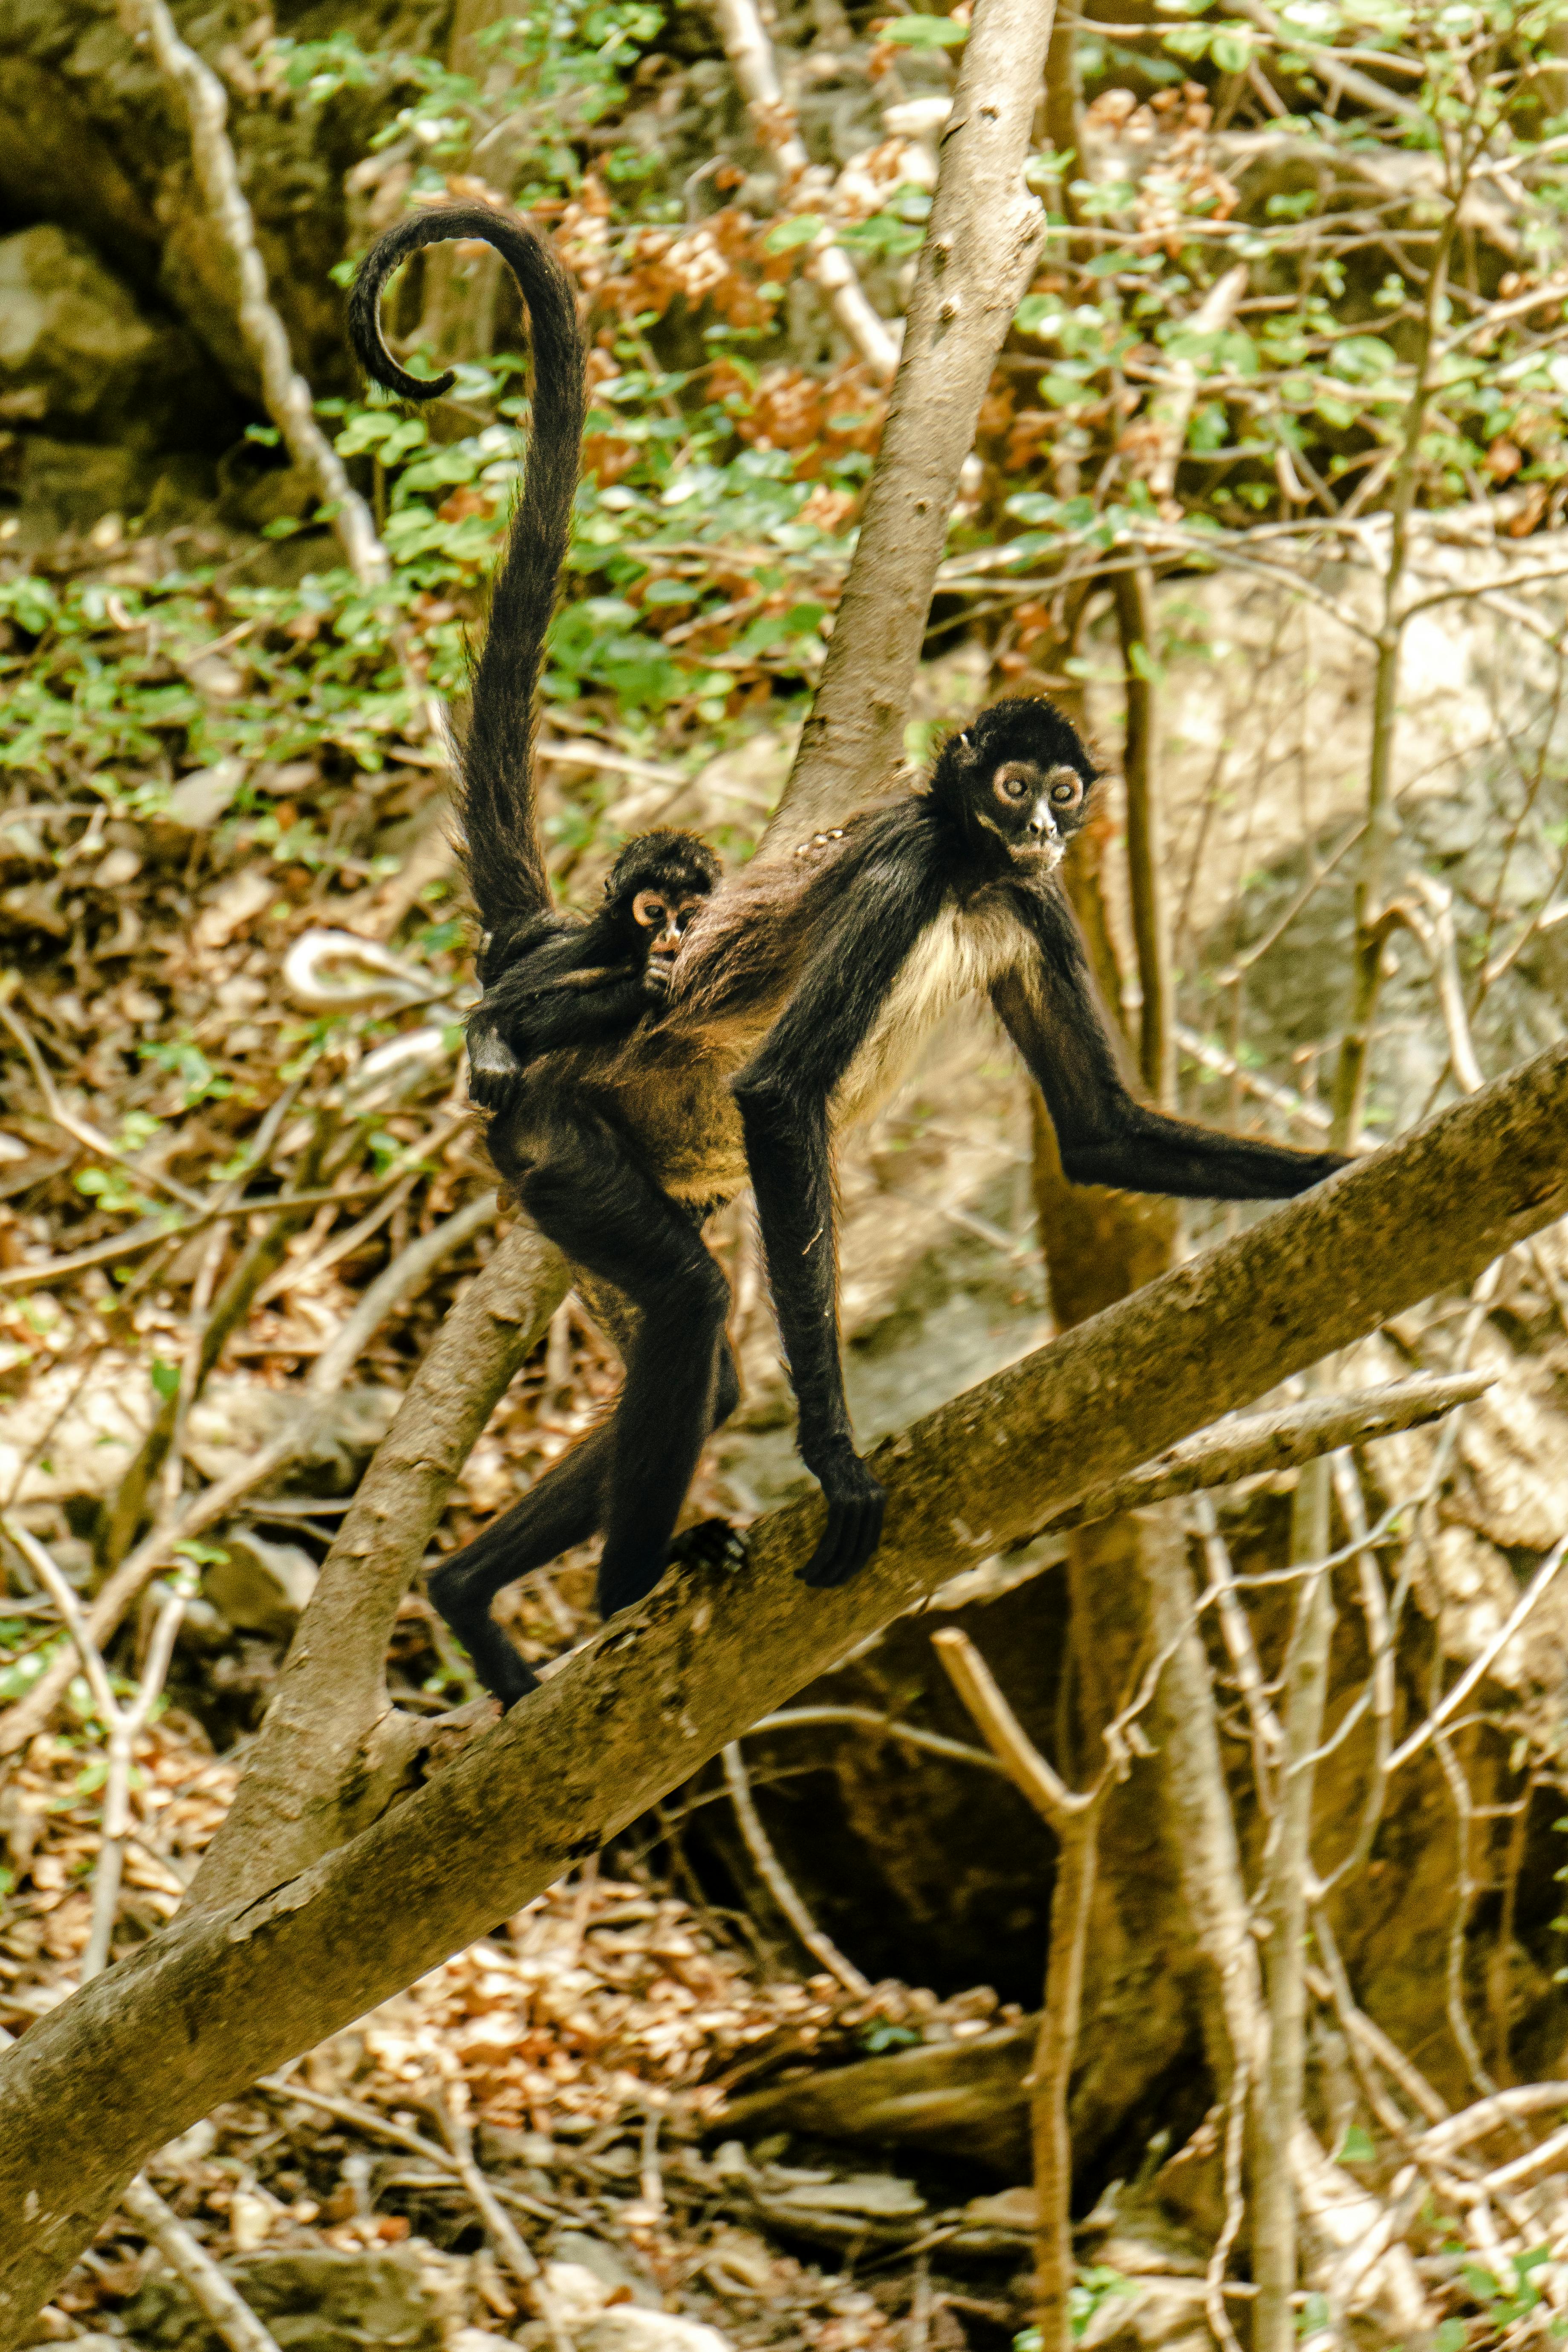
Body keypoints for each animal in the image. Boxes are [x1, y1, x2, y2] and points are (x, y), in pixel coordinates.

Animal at [350, 207, 1354, 1712]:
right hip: (555, 1138)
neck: (966, 870)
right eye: (1011, 788)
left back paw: (468, 1591)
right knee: (692, 1304)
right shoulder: (905, 875)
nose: (1042, 827)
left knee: (697, 1366)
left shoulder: (1030, 907)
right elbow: (778, 1097)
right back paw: (625, 1587)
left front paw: (1352, 1169)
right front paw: (832, 1458)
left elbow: (1102, 1132)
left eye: (1063, 796)